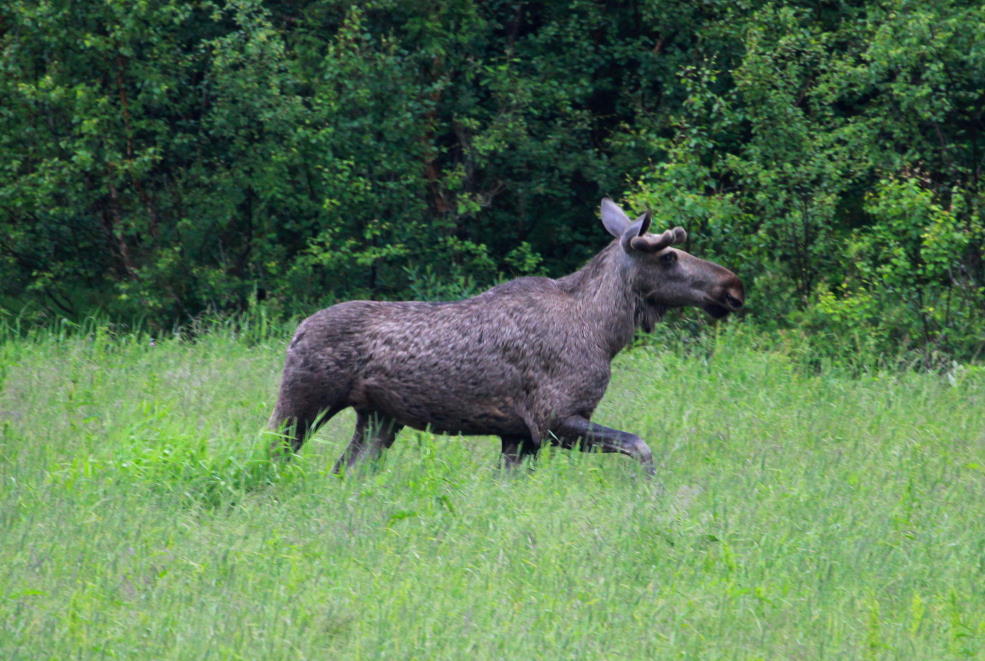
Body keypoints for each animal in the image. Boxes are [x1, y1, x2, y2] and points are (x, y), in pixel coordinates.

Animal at [266, 199, 740, 472]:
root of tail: (297, 331)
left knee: (346, 469)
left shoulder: (519, 437)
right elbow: (641, 447)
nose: (733, 286)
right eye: (669, 255)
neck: (605, 332)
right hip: (302, 404)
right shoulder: (554, 421)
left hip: (379, 419)